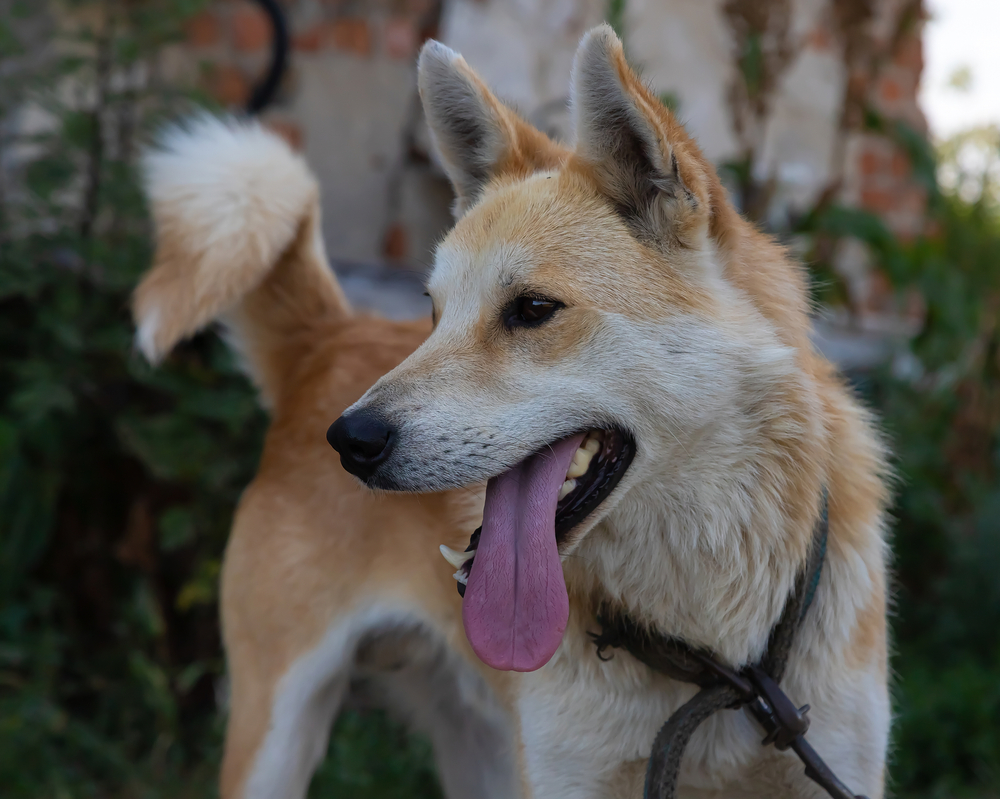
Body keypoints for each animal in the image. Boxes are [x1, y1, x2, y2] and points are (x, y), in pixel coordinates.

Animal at [133, 25, 892, 799]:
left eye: (532, 309)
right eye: (434, 313)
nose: (349, 440)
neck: (715, 658)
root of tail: (331, 339)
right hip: (275, 740)